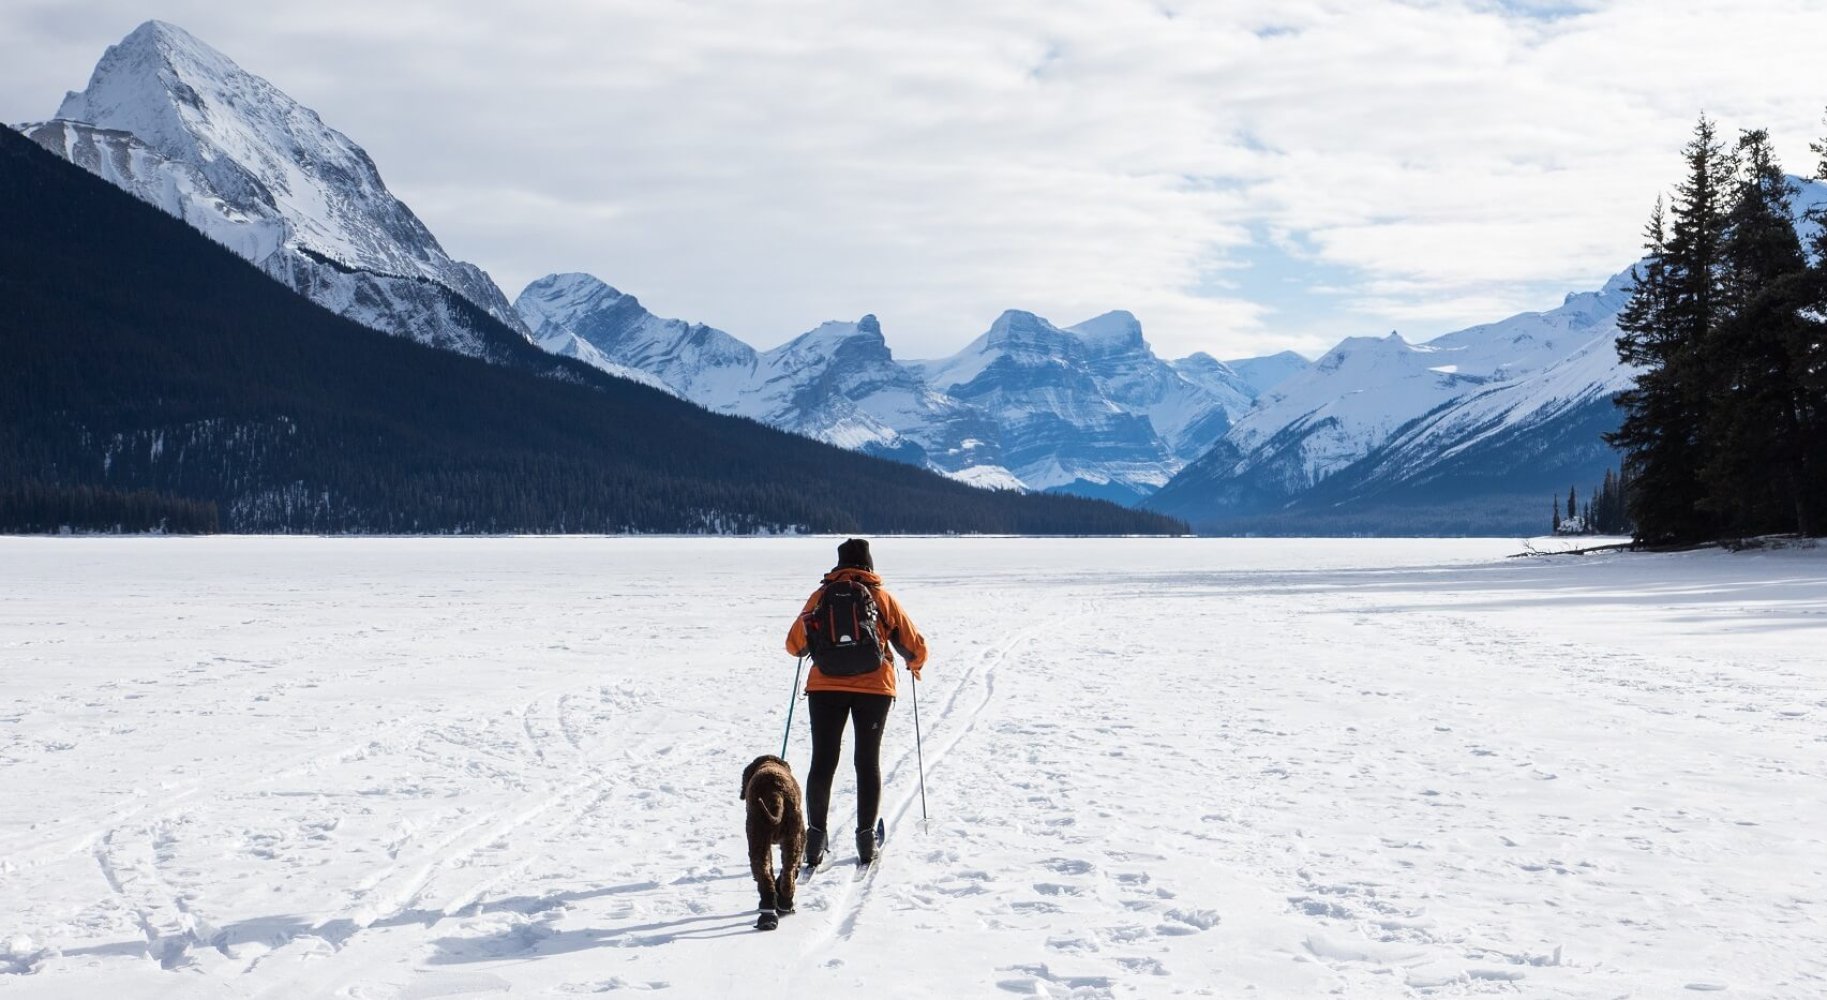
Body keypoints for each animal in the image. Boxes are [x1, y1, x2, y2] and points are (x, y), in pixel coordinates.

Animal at [738, 760, 803, 932]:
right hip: (790, 837)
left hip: (760, 839)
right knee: (787, 874)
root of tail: (776, 794)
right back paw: (783, 907)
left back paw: (769, 916)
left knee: (770, 874)